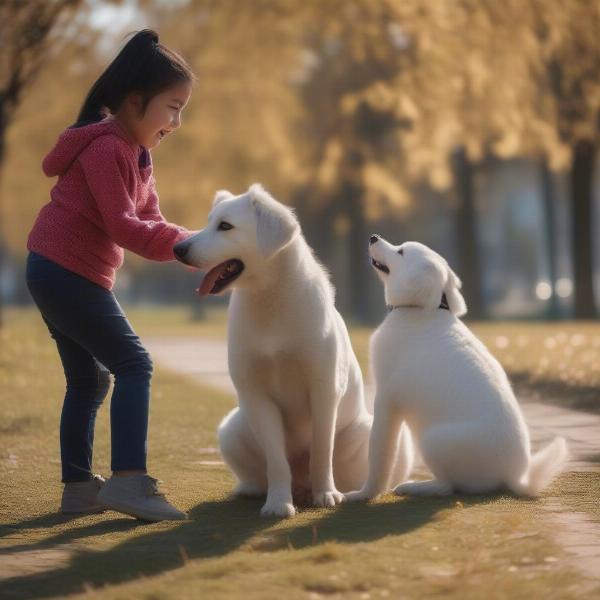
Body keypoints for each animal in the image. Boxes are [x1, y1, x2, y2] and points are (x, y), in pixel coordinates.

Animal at [173, 186, 412, 516]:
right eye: (208, 222)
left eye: (225, 226)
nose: (178, 249)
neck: (270, 303)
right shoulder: (256, 395)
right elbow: (276, 460)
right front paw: (278, 504)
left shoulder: (324, 388)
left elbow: (322, 450)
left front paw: (326, 495)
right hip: (232, 428)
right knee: (261, 474)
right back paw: (254, 490)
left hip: (373, 433)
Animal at [342, 234, 568, 502]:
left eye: (401, 252)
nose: (373, 237)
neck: (419, 311)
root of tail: (513, 475)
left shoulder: (386, 400)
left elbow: (379, 455)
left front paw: (363, 494)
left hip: (432, 439)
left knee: (447, 487)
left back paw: (417, 487)